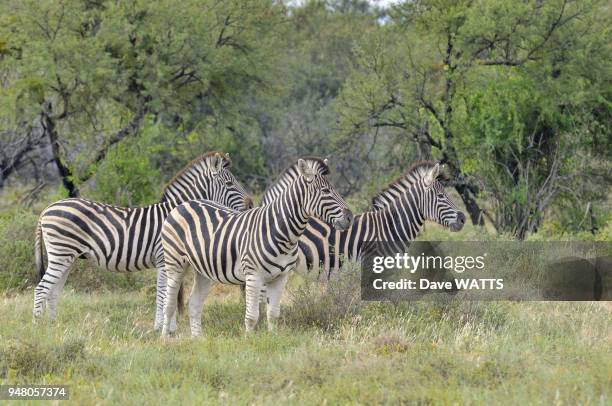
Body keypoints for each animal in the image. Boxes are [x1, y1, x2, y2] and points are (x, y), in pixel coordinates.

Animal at [32, 152, 252, 330]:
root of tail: (46, 210)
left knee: (53, 291)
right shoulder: (164, 260)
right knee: (41, 289)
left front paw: (167, 326)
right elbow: (164, 294)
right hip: (61, 253)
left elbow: (168, 294)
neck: (178, 215)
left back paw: (52, 326)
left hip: (66, 257)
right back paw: (38, 329)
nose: (250, 204)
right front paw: (161, 328)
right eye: (229, 184)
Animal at [160, 157, 352, 334]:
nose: (350, 218)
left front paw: (272, 339)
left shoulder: (280, 277)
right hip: (174, 263)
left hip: (203, 270)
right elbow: (252, 317)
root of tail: (183, 204)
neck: (282, 233)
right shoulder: (253, 276)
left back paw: (198, 339)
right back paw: (165, 338)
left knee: (194, 303)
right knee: (168, 304)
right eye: (325, 191)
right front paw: (250, 342)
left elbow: (273, 314)